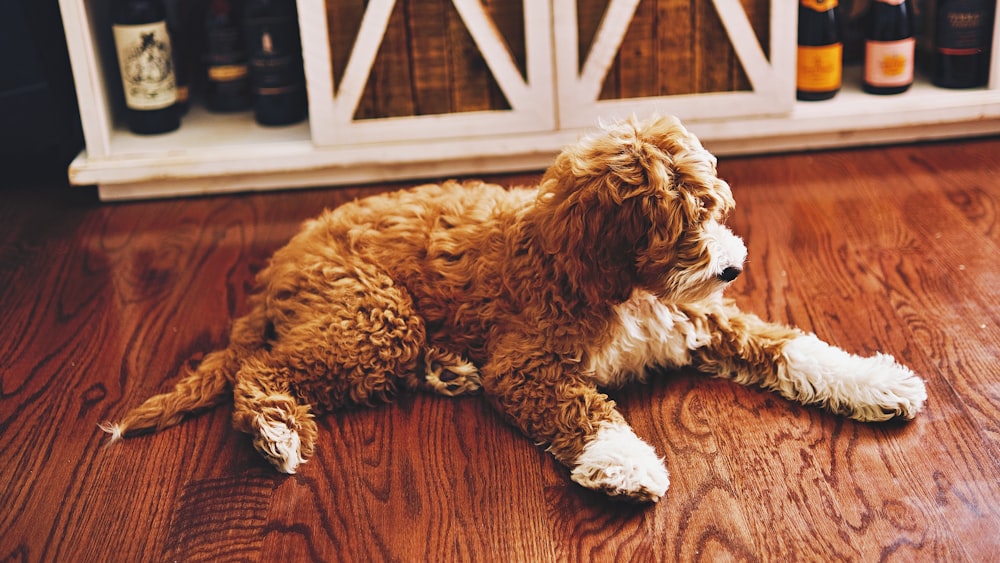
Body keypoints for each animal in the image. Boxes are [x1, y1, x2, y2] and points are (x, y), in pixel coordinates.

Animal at [103, 114, 928, 502]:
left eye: (715, 207)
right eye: (680, 224)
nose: (732, 265)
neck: (618, 283)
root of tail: (277, 265)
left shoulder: (707, 318)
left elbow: (793, 345)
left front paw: (878, 382)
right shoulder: (529, 363)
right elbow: (583, 407)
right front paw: (624, 461)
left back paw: (448, 368)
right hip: (373, 314)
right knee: (262, 371)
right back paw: (276, 431)